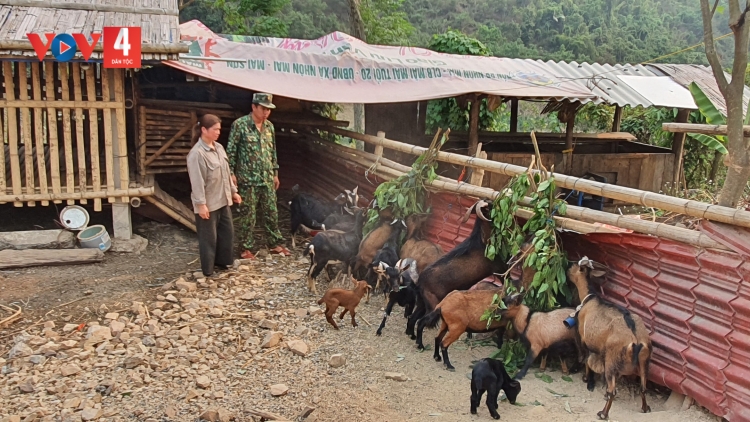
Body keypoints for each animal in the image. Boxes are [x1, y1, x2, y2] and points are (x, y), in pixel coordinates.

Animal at [408, 199, 508, 348]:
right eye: (489, 206)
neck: (482, 239)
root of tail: (419, 282)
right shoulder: (499, 267)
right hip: (433, 306)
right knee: (421, 322)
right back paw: (420, 344)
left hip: (422, 303)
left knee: (412, 318)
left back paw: (411, 335)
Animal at [568, 258, 652, 418]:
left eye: (575, 265)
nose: (567, 267)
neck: (590, 298)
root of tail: (636, 341)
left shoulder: (584, 338)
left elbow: (586, 359)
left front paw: (586, 379)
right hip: (644, 360)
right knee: (643, 387)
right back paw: (645, 409)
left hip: (612, 358)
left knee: (613, 389)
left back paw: (603, 413)